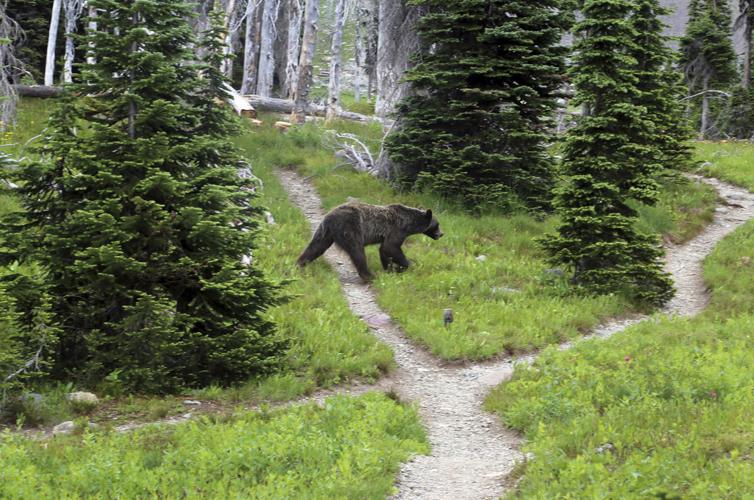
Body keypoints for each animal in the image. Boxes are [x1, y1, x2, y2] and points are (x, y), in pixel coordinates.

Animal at [297, 201, 443, 281]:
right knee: (357, 251)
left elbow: (384, 250)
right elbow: (391, 247)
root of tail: (328, 217)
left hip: (325, 233)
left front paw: (390, 269)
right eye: (437, 224)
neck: (409, 224)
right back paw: (369, 275)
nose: (441, 234)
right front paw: (405, 265)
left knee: (315, 247)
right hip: (351, 228)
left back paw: (299, 264)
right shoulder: (397, 229)